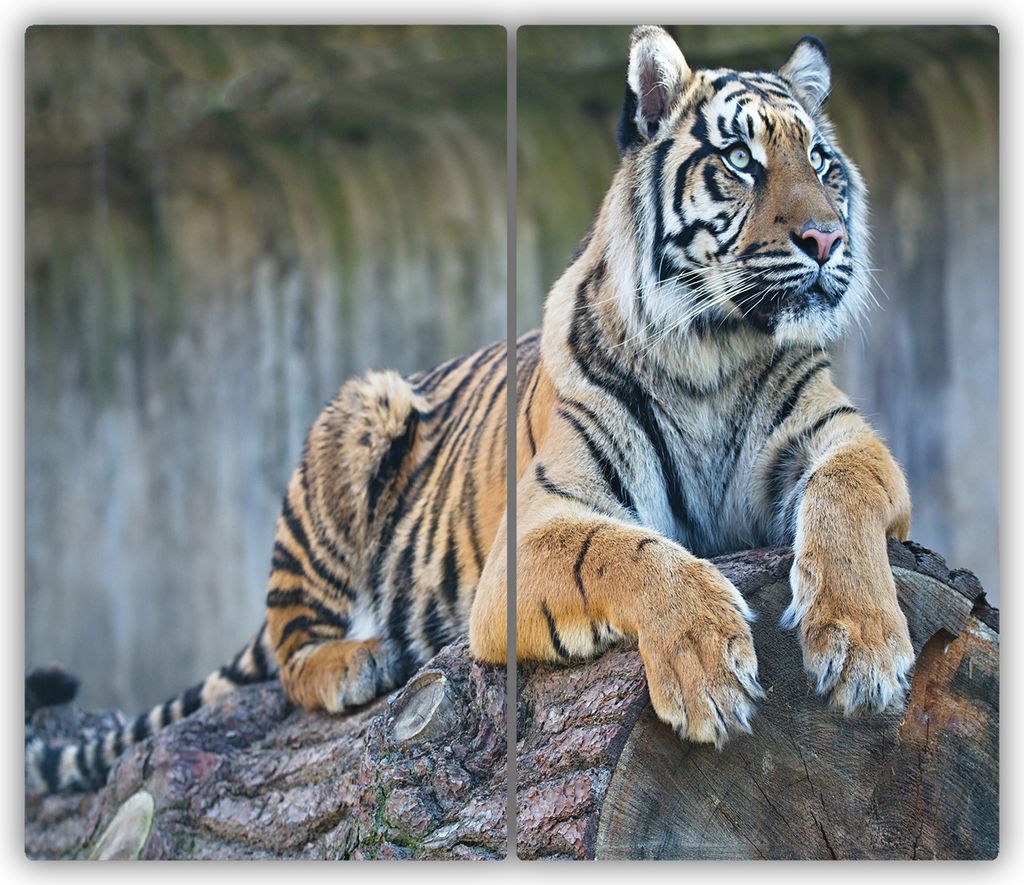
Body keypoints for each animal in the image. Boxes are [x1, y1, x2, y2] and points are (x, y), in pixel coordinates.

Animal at [469, 26, 914, 748]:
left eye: (820, 161)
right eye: (739, 159)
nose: (827, 239)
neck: (708, 352)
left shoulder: (844, 437)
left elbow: (844, 492)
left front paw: (862, 646)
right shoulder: (536, 525)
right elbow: (618, 550)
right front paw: (706, 663)